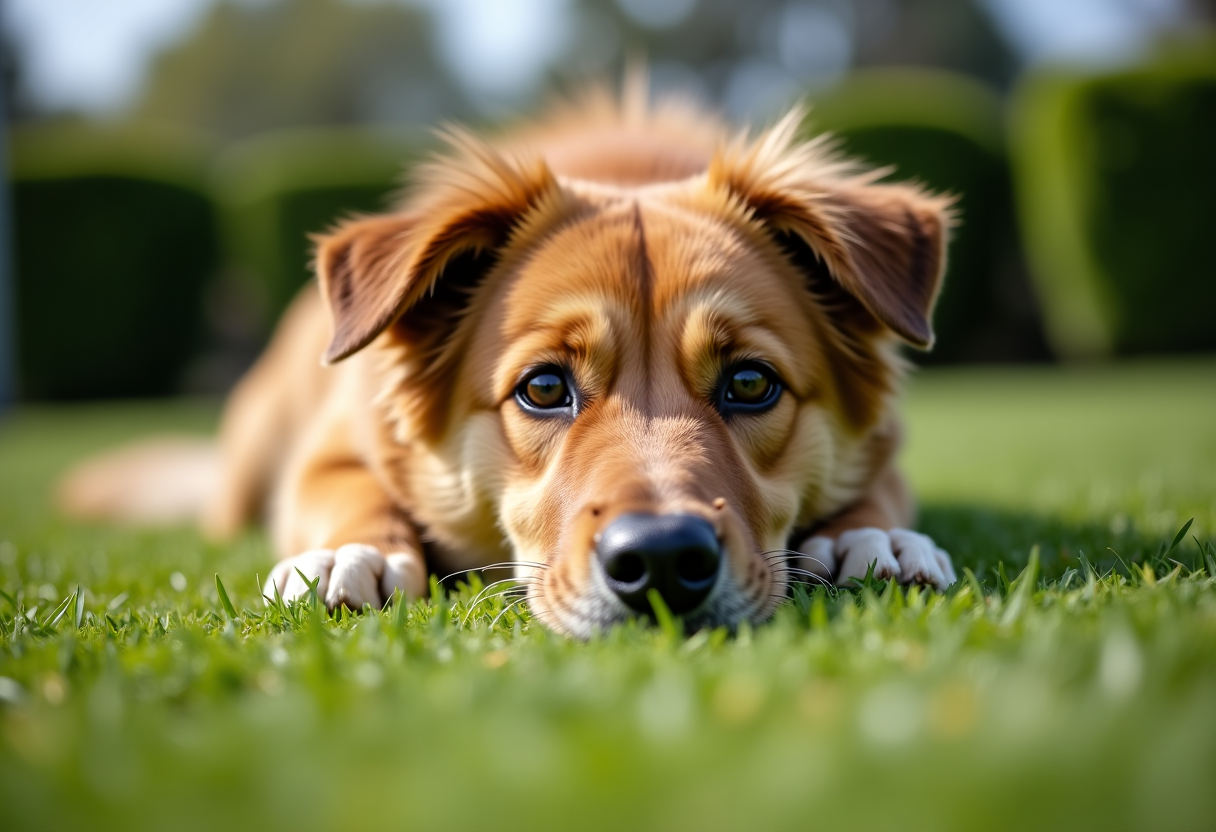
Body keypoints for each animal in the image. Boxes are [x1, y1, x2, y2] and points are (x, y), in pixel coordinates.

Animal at [61, 87, 958, 637]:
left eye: (749, 382)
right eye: (544, 388)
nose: (662, 560)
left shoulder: (885, 444)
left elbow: (879, 488)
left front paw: (875, 537)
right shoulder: (333, 451)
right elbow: (347, 492)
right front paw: (356, 554)